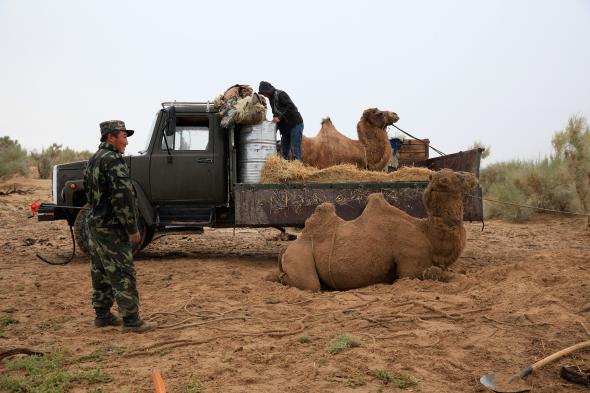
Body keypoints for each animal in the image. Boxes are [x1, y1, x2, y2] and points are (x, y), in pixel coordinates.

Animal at [276, 168, 478, 290]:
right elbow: (432, 274)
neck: (428, 233)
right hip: (300, 254)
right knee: (310, 284)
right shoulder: (410, 263)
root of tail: (286, 249)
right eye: (459, 177)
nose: (473, 177)